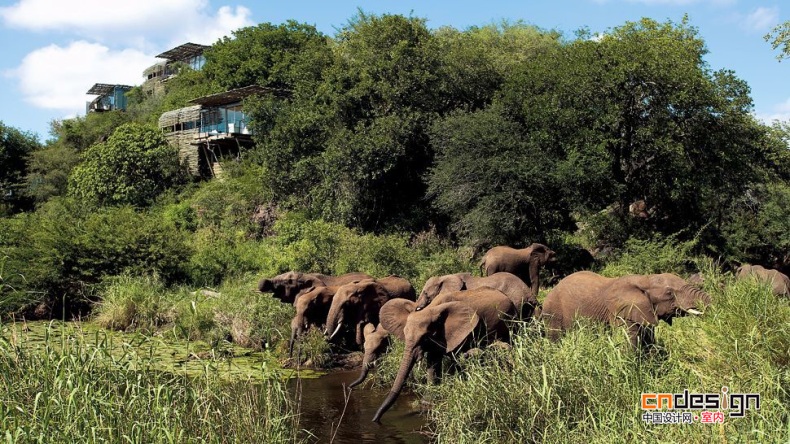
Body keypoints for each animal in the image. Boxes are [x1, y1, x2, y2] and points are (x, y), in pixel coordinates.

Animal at [374, 288, 516, 424]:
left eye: (424, 337)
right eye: (404, 333)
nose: (376, 420)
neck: (431, 309)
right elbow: (433, 362)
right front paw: (427, 403)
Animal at [544, 270, 712, 350]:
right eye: (669, 293)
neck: (644, 279)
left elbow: (649, 341)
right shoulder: (620, 312)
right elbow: (628, 344)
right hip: (553, 313)